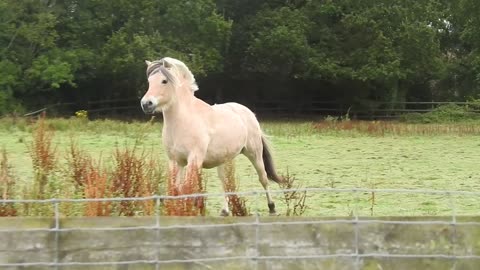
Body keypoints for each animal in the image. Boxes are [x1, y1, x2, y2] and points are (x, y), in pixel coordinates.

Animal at [139, 57, 284, 215]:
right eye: (149, 81)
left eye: (164, 81)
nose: (146, 104)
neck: (183, 121)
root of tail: (249, 113)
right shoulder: (175, 161)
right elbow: (175, 190)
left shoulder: (194, 160)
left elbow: (187, 189)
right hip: (224, 159)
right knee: (224, 181)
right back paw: (225, 211)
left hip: (254, 154)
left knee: (263, 178)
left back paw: (272, 207)